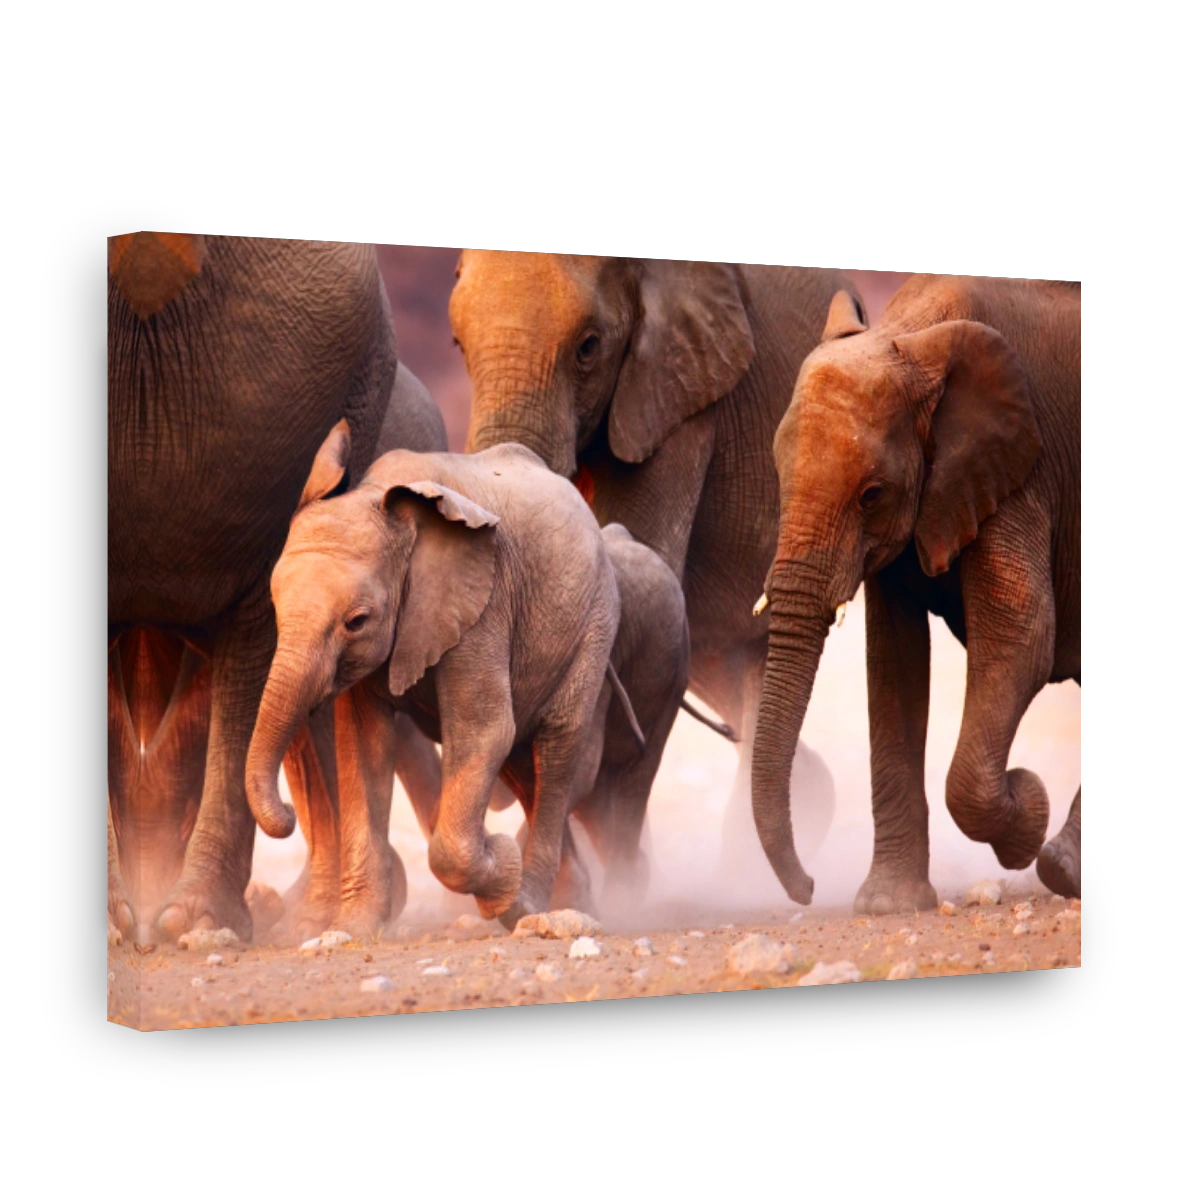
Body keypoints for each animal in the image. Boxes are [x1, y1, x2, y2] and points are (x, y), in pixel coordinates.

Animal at [244, 430, 634, 934]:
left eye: (357, 621)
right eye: (275, 606)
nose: (288, 815)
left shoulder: (483, 604)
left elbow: (483, 732)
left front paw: (501, 862)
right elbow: (364, 745)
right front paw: (354, 929)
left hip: (595, 624)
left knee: (556, 748)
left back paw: (526, 904)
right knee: (523, 767)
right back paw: (569, 901)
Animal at [750, 275, 1084, 915]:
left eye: (872, 495)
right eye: (776, 474)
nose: (808, 889)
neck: (912, 333)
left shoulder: (1020, 472)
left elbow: (1021, 636)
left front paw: (1028, 807)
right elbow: (894, 663)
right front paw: (888, 905)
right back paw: (1065, 864)